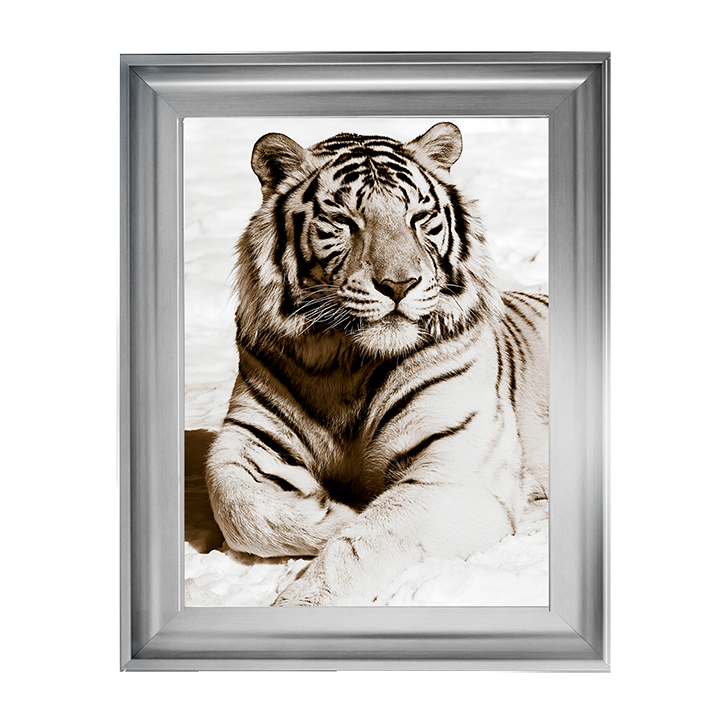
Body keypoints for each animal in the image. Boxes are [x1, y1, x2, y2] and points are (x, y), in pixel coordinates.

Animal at [205, 122, 548, 606]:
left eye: (419, 218)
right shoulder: (248, 437)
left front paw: (304, 597)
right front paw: (335, 510)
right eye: (344, 221)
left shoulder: (456, 474)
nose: (399, 285)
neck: (346, 361)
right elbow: (236, 506)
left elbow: (367, 541)